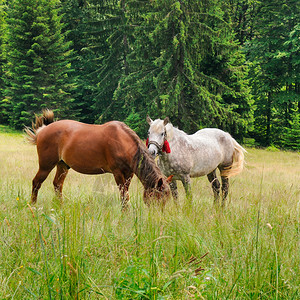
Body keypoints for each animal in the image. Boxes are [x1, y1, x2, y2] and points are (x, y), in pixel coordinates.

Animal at [25, 109, 171, 210]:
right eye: (158, 197)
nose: (158, 217)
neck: (123, 142)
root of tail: (42, 130)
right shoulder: (118, 173)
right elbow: (124, 195)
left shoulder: (129, 174)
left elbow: (126, 194)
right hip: (46, 165)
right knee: (36, 183)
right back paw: (33, 206)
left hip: (63, 165)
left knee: (57, 184)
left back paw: (60, 206)